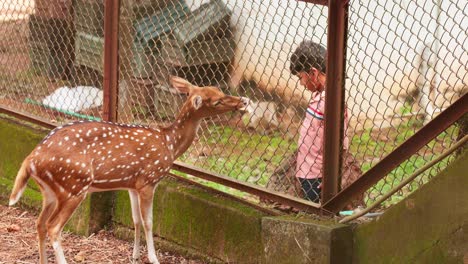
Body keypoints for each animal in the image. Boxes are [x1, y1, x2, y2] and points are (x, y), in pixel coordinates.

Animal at [8, 75, 249, 262]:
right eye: (216, 101)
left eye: (217, 89)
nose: (243, 101)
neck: (169, 144)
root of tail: (30, 159)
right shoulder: (148, 180)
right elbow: (149, 222)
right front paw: (153, 258)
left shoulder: (132, 184)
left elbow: (136, 220)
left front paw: (134, 255)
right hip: (74, 186)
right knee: (53, 227)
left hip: (50, 191)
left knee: (39, 223)